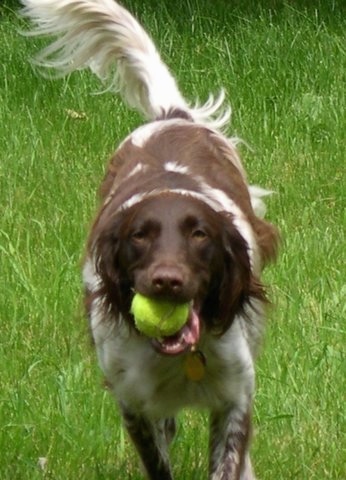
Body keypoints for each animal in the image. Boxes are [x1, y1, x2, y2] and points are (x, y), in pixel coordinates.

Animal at [21, 1, 280, 478]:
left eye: (200, 234)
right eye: (139, 236)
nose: (167, 281)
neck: (178, 357)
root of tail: (171, 116)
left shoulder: (235, 396)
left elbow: (230, 454)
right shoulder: (133, 403)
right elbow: (157, 456)